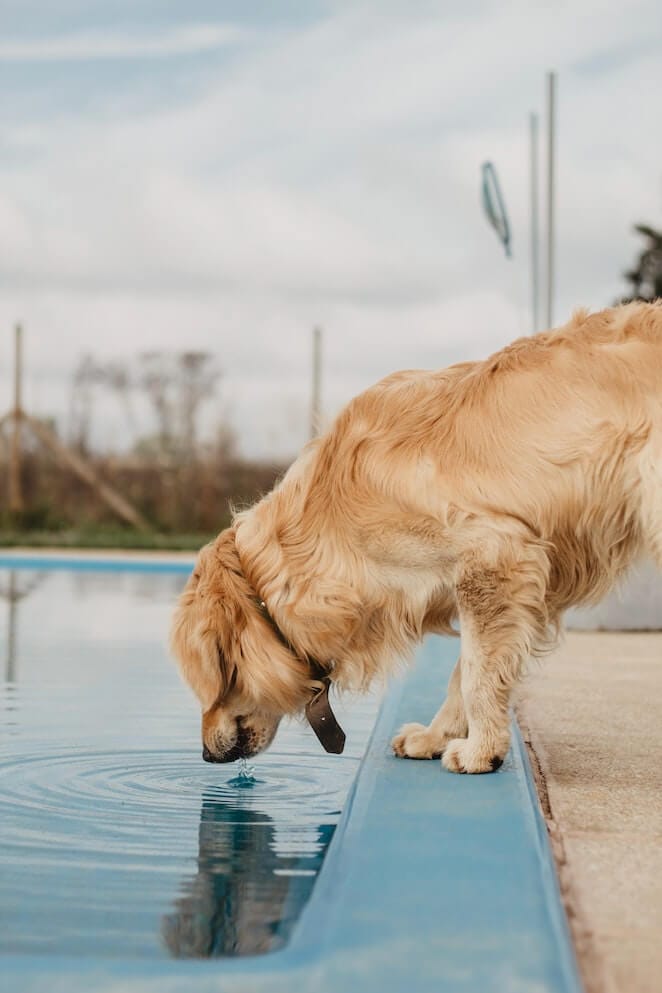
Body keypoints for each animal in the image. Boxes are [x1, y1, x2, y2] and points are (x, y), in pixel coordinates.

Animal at [171, 304, 662, 776]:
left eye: (208, 684)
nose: (206, 757)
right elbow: (462, 672)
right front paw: (436, 737)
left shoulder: (493, 558)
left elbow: (477, 673)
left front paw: (482, 750)